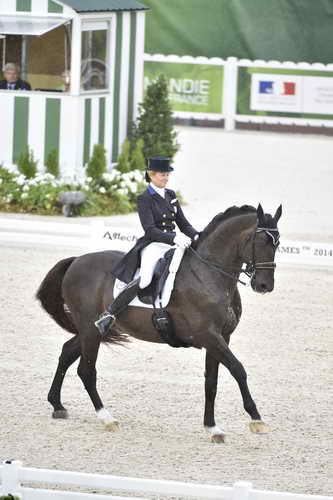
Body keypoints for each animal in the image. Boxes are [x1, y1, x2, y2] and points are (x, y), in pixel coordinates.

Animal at [35, 201, 280, 444]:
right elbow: (238, 369)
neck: (208, 274)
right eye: (260, 241)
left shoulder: (221, 338)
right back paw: (107, 418)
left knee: (67, 352)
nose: (264, 286)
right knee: (86, 370)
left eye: (277, 243)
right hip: (90, 330)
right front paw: (256, 419)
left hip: (93, 330)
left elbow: (211, 382)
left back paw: (57, 405)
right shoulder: (208, 336)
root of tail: (76, 260)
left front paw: (212, 428)